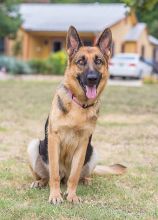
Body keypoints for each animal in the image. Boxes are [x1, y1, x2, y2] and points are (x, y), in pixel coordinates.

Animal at [27, 26, 126, 205]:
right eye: (81, 61)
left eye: (98, 61)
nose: (92, 78)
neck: (78, 105)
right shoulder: (54, 139)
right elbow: (54, 174)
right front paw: (55, 195)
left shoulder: (83, 143)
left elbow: (74, 175)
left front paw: (72, 195)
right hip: (34, 146)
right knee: (48, 176)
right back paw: (40, 182)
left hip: (93, 151)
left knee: (77, 176)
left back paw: (85, 180)